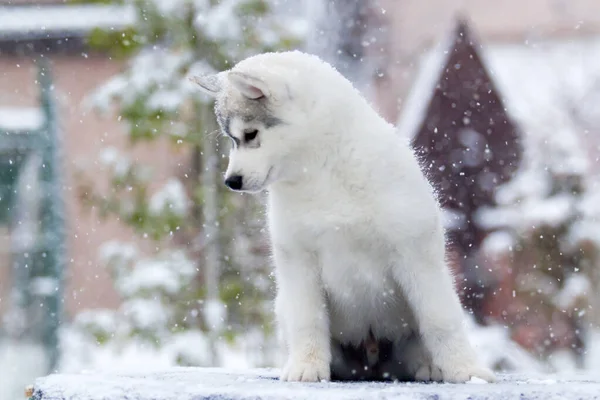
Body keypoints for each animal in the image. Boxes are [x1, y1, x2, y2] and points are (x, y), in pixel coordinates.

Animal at [193, 51, 496, 382]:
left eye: (250, 134)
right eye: (233, 139)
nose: (231, 181)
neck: (320, 171)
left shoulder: (415, 254)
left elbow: (440, 320)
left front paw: (466, 370)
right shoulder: (298, 260)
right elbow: (308, 320)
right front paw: (306, 366)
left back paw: (430, 365)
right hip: (287, 306)